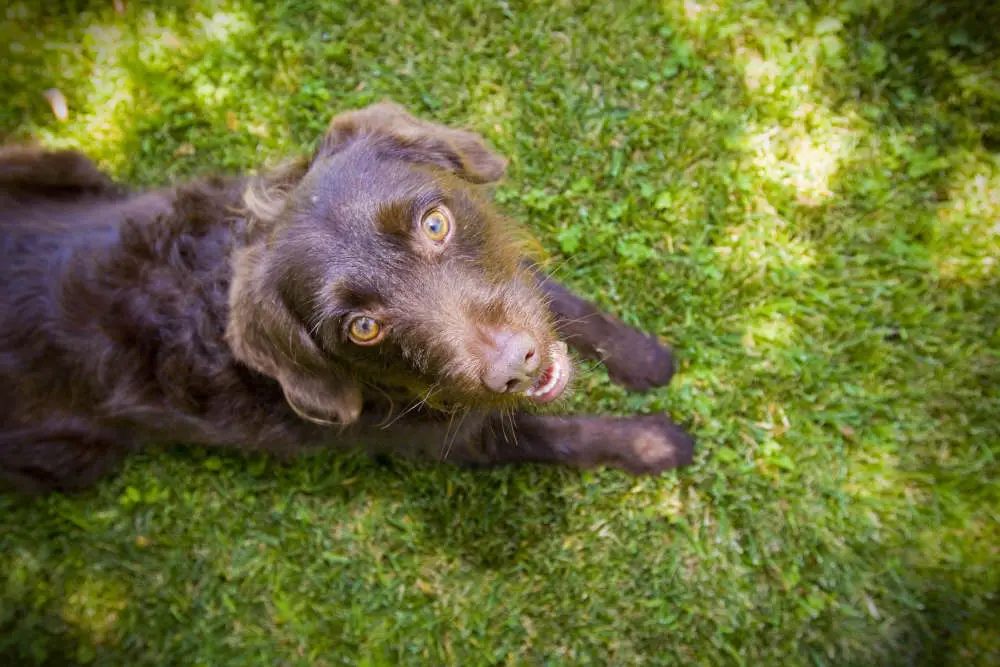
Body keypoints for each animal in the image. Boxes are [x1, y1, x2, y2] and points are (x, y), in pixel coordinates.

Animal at [0, 102, 696, 494]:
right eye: (362, 328)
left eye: (435, 224)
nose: (513, 368)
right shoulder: (460, 439)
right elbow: (561, 436)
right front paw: (653, 444)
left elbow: (559, 301)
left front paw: (642, 357)